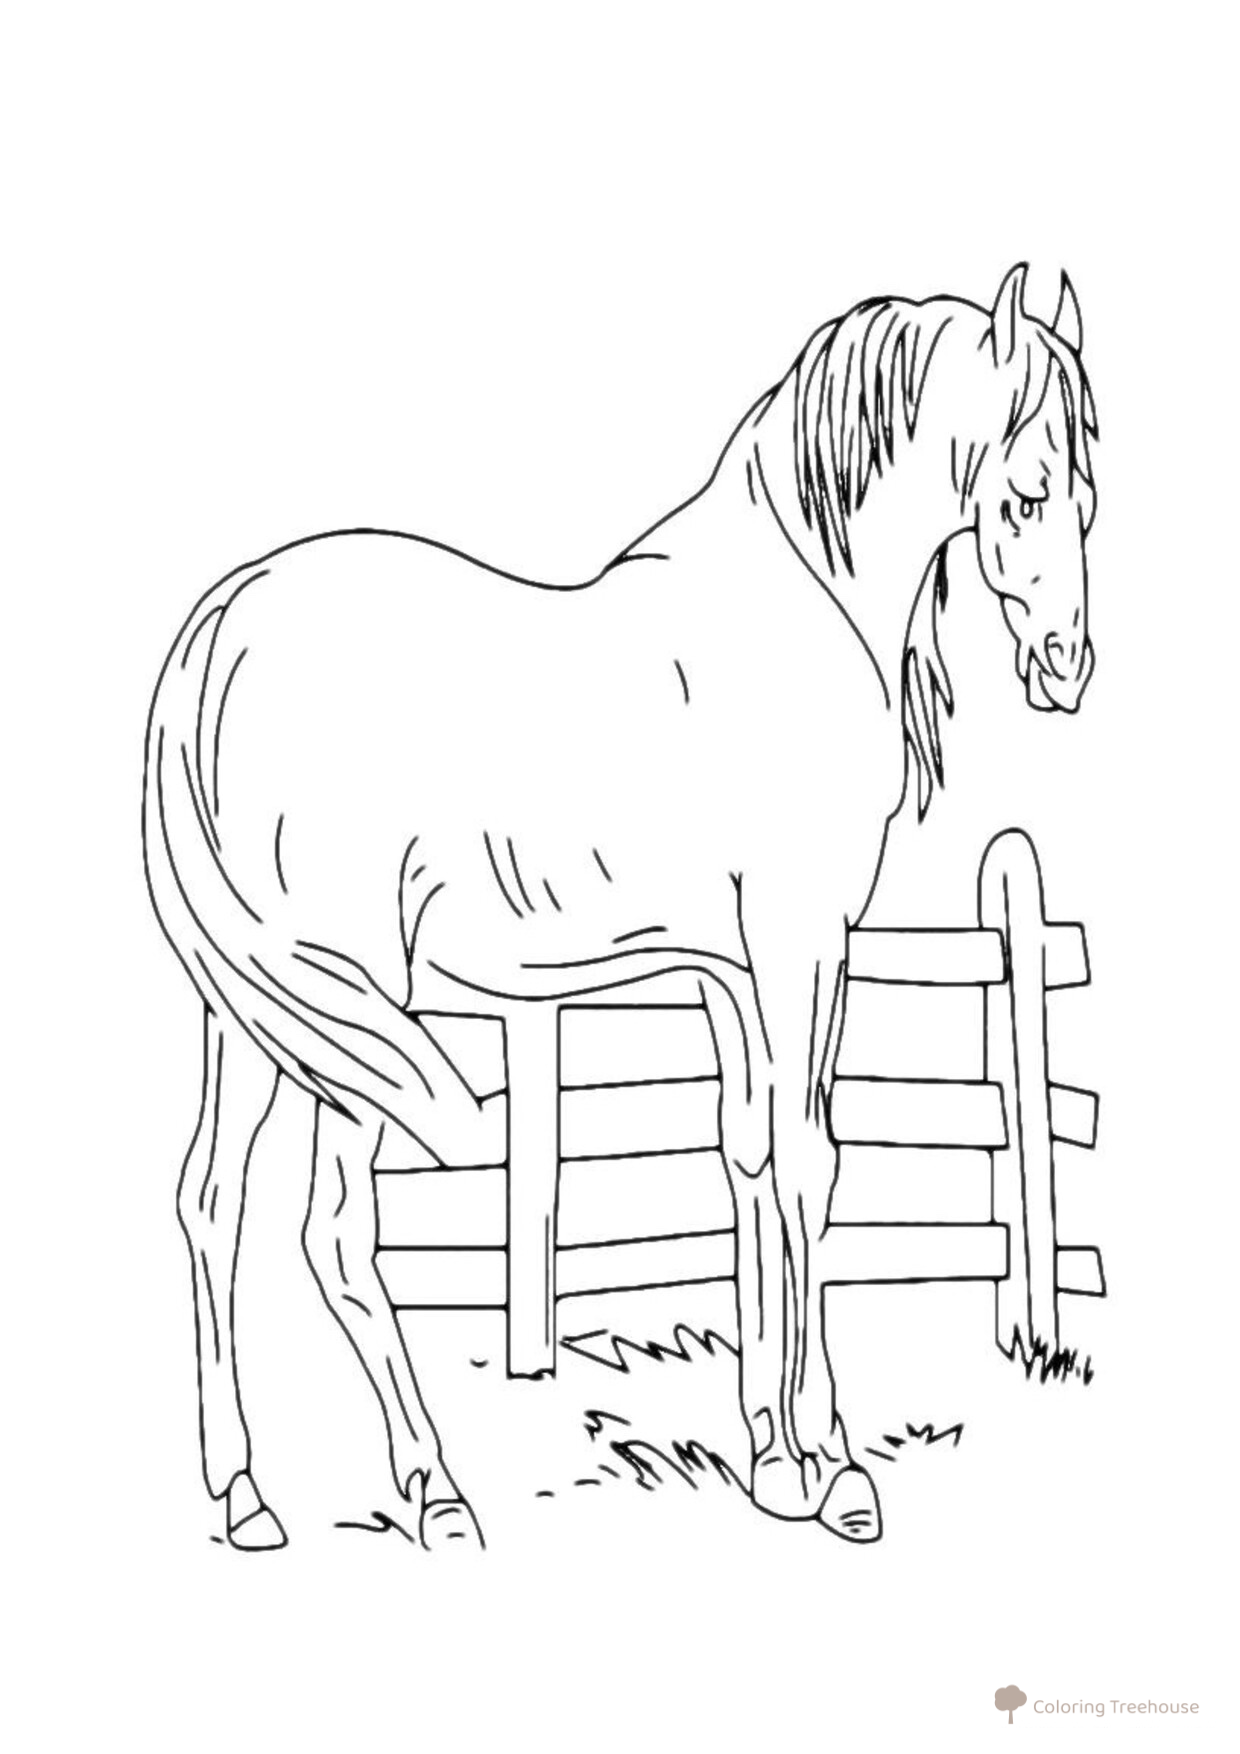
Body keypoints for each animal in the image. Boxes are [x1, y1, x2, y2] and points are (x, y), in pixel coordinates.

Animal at [143, 263, 1098, 1551]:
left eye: (1087, 494)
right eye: (1029, 490)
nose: (1066, 665)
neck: (796, 612)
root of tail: (220, 630)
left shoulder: (728, 970)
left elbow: (749, 1159)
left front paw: (772, 1456)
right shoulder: (801, 945)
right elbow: (810, 1163)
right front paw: (838, 1465)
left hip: (258, 1011)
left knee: (211, 1202)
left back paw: (246, 1492)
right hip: (349, 993)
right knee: (332, 1228)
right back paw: (434, 1487)